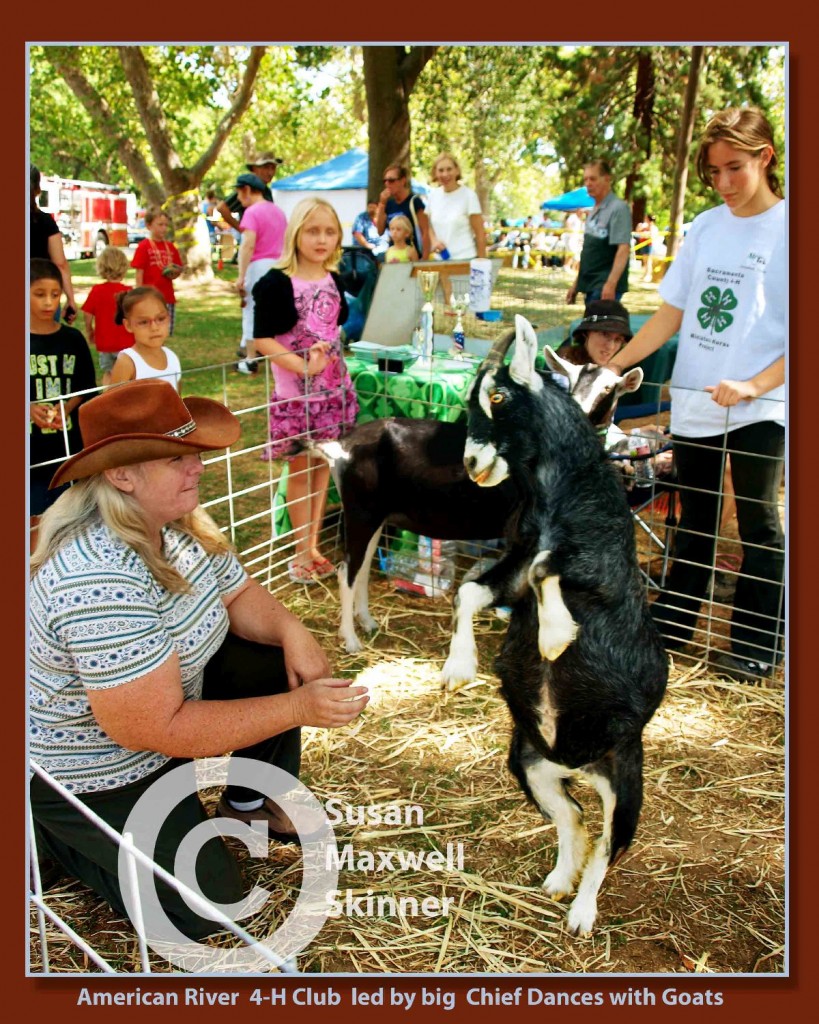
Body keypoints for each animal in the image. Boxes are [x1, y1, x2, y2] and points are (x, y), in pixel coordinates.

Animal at [309, 353, 642, 656]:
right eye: (571, 384)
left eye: (610, 388)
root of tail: (340, 446)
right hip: (361, 511)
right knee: (346, 572)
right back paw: (351, 640)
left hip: (374, 515)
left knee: (362, 568)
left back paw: (367, 622)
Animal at [457, 314, 667, 934]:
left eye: (498, 396)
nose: (471, 465)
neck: (557, 494)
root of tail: (579, 762)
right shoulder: (513, 565)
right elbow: (471, 588)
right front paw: (459, 667)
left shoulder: (595, 567)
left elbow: (549, 567)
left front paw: (556, 637)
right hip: (529, 764)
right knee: (572, 816)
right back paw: (556, 881)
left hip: (626, 778)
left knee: (610, 843)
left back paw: (581, 913)